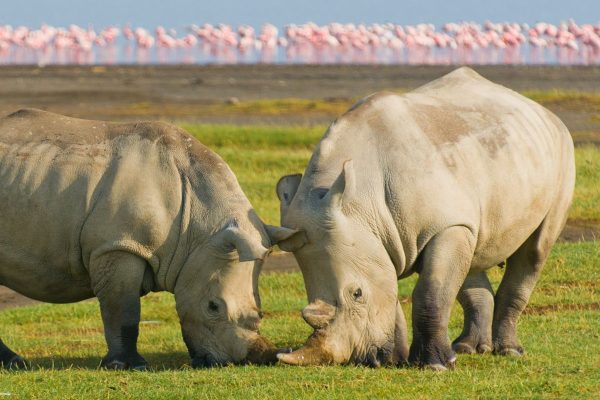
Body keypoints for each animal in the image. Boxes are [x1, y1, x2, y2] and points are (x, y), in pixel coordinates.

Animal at [0, 108, 280, 370]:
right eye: (213, 306)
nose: (235, 361)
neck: (200, 226)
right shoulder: (119, 245)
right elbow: (124, 309)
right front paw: (129, 366)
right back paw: (15, 363)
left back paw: (13, 363)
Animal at [274, 67, 576, 370]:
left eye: (357, 293)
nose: (367, 360)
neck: (360, 202)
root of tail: (540, 109)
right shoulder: (378, 239)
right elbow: (392, 290)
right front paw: (398, 359)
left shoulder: (444, 225)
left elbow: (431, 291)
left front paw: (434, 365)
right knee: (472, 253)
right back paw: (468, 348)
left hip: (562, 150)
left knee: (534, 251)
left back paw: (509, 351)